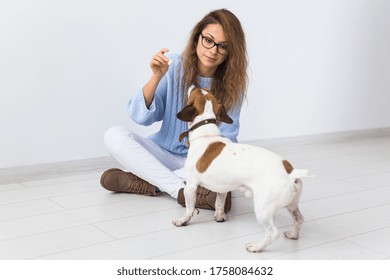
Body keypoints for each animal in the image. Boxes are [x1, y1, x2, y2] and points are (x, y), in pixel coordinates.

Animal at [172, 86, 312, 253]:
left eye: (196, 91)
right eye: (204, 90)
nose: (194, 84)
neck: (206, 134)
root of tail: (290, 171)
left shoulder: (191, 186)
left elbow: (189, 208)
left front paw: (183, 220)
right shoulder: (222, 189)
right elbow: (219, 203)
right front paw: (220, 217)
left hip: (263, 210)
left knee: (272, 233)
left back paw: (256, 247)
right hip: (292, 205)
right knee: (299, 219)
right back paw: (293, 235)